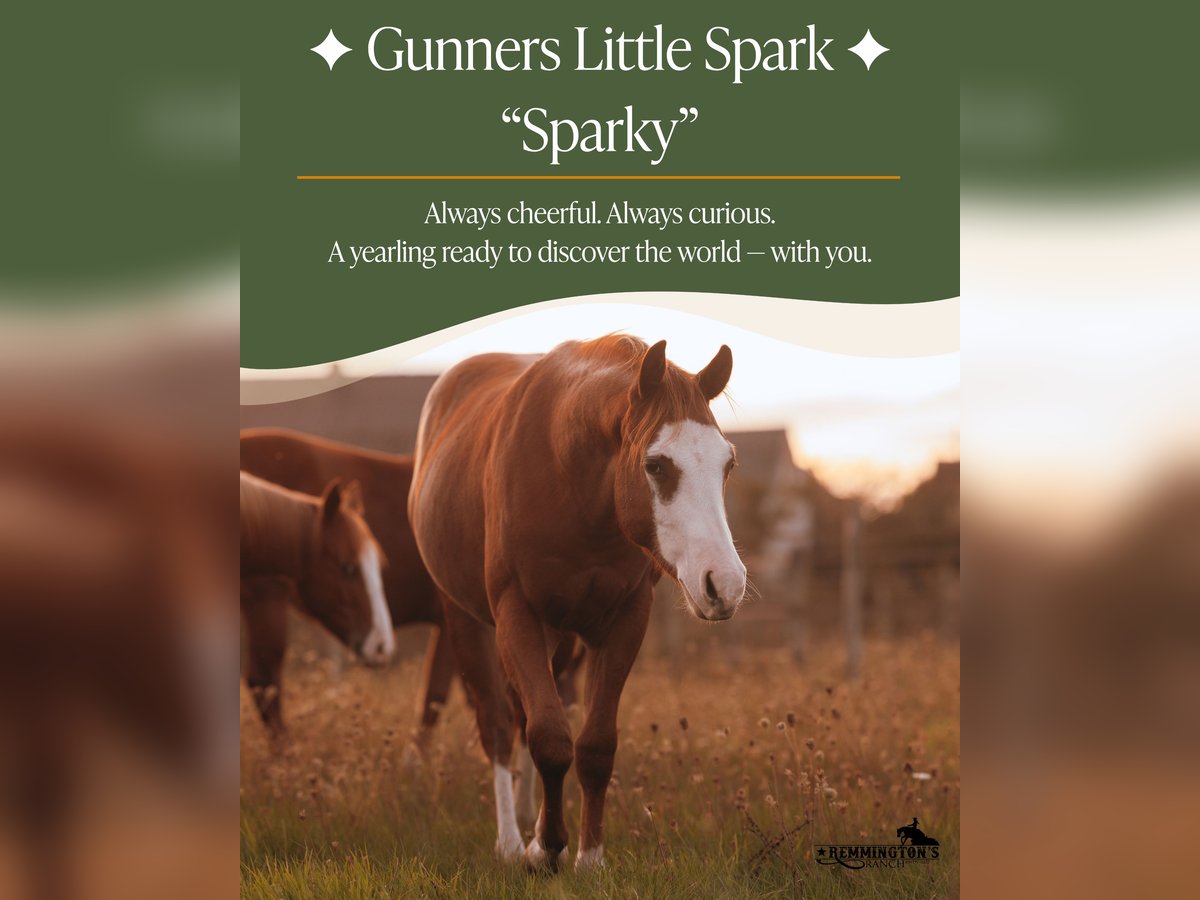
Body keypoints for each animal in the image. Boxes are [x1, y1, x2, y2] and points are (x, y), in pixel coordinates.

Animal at [409, 335, 746, 871]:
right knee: (498, 726)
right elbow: (548, 738)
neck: (575, 486)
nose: (725, 584)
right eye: (655, 465)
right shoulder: (517, 616)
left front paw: (589, 855)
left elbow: (594, 744)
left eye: (727, 463)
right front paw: (545, 849)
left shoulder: (625, 621)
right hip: (465, 620)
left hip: (561, 639)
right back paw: (511, 840)